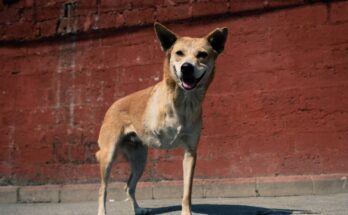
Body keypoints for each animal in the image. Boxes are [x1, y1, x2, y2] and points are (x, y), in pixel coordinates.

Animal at [96, 22, 228, 215]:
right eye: (179, 53)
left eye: (202, 55)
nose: (186, 67)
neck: (184, 102)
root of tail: (111, 107)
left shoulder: (190, 152)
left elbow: (187, 191)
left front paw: (186, 212)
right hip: (109, 155)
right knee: (103, 189)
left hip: (140, 161)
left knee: (129, 186)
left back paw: (138, 209)